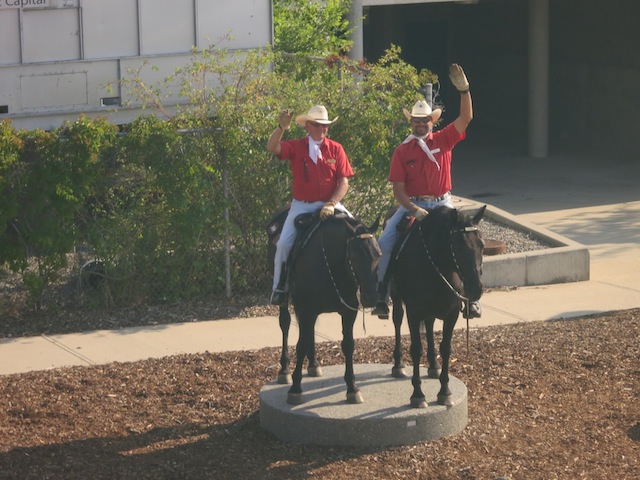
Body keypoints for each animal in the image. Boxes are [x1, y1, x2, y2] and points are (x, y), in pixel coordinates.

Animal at [268, 212, 382, 404]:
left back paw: (314, 364)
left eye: (378, 254)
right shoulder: (306, 310)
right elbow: (300, 344)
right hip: (287, 301)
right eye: (355, 254)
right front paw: (295, 389)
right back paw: (284, 370)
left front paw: (352, 388)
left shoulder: (348, 312)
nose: (371, 297)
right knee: (285, 324)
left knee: (310, 332)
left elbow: (348, 345)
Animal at [384, 204, 484, 406]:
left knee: (429, 326)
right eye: (458, 245)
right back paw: (398, 364)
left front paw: (445, 392)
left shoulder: (452, 313)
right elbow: (416, 349)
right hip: (397, 299)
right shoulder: (413, 313)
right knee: (397, 321)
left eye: (482, 245)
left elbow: (446, 348)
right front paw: (417, 394)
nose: (475, 288)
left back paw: (434, 365)